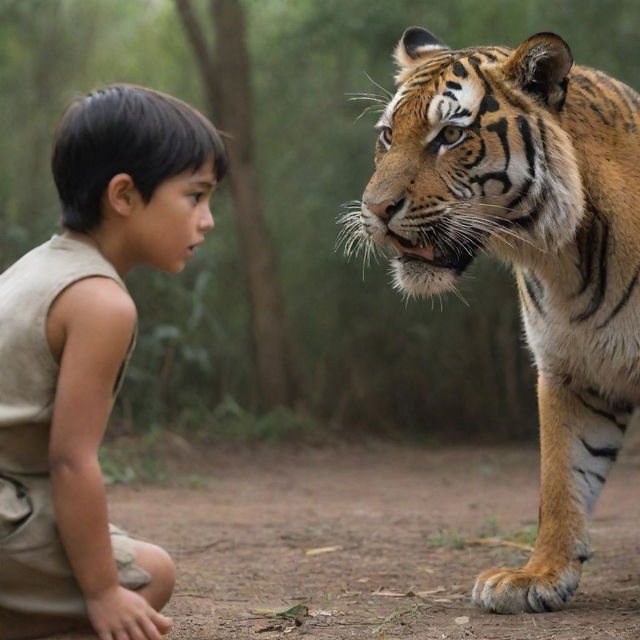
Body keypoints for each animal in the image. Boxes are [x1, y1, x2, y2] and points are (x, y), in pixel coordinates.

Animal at [350, 26, 640, 616]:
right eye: (388, 135)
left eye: (449, 135)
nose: (375, 209)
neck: (567, 255)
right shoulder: (573, 369)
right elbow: (562, 479)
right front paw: (538, 576)